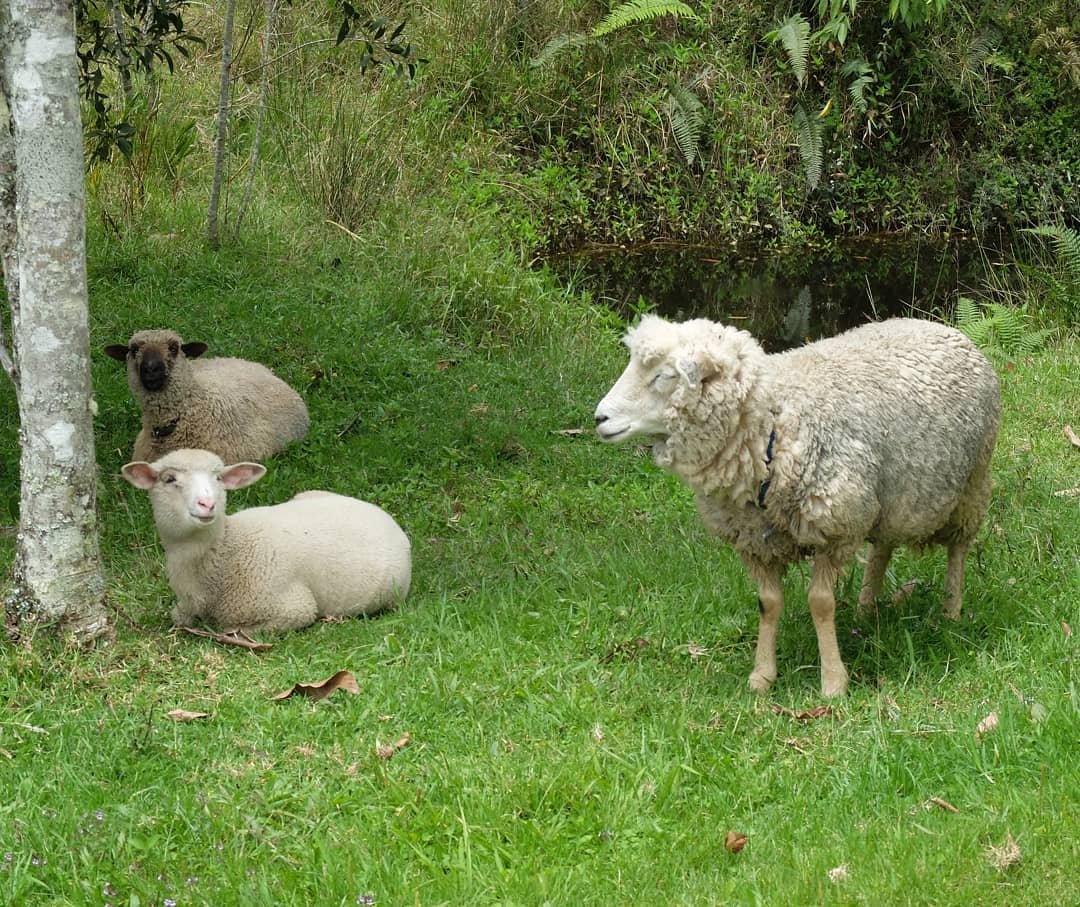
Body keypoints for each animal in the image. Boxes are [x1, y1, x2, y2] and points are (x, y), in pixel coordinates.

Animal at [121, 448, 412, 633]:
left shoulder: (294, 609)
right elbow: (177, 616)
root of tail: (381, 513)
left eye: (219, 478)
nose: (208, 503)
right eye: (169, 479)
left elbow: (230, 628)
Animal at [595, 315, 1000, 698]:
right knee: (882, 548)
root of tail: (941, 326)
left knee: (958, 549)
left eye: (664, 376)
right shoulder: (756, 541)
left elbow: (821, 603)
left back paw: (950, 612)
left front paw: (833, 681)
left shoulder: (834, 529)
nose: (599, 418)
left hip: (972, 484)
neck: (773, 424)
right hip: (888, 497)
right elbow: (768, 603)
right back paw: (866, 610)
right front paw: (762, 677)